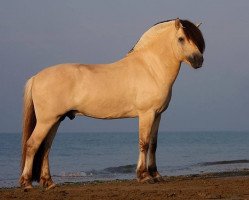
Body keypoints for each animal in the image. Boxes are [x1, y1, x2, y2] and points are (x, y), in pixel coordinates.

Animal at [19, 18, 205, 189]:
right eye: (181, 38)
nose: (199, 60)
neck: (150, 69)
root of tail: (36, 77)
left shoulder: (158, 115)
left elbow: (153, 145)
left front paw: (156, 175)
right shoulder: (147, 114)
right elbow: (143, 143)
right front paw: (144, 176)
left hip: (56, 120)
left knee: (46, 148)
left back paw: (49, 182)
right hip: (46, 121)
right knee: (32, 145)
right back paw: (27, 183)